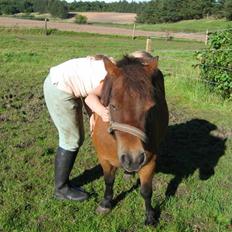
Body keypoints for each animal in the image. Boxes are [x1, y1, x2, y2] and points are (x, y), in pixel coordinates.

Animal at [91, 55, 169, 226]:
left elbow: (146, 191)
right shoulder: (104, 159)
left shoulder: (149, 162)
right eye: (113, 106)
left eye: (151, 108)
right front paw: (106, 203)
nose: (133, 159)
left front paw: (150, 217)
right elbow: (108, 181)